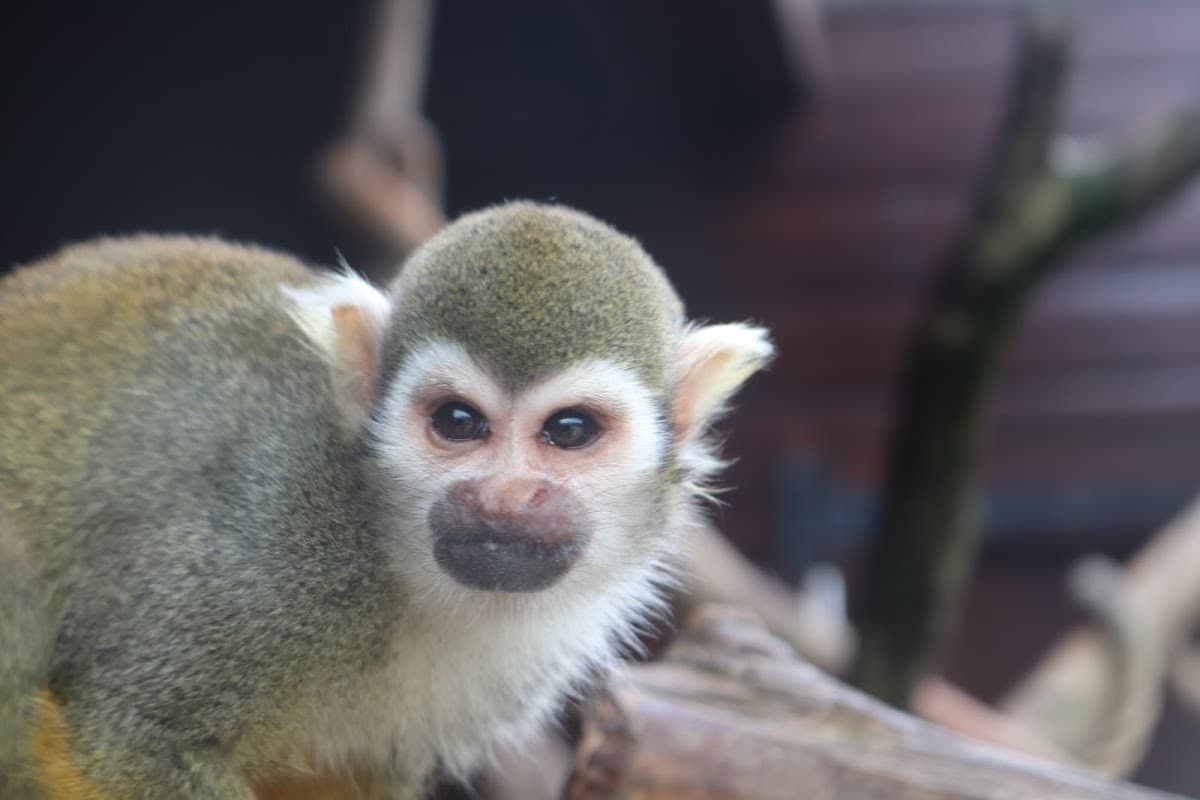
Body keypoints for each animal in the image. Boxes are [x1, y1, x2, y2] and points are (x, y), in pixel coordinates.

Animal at [0, 202, 773, 798]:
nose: (504, 498)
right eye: (458, 422)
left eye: (570, 431)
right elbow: (130, 735)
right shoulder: (268, 547)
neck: (404, 576)